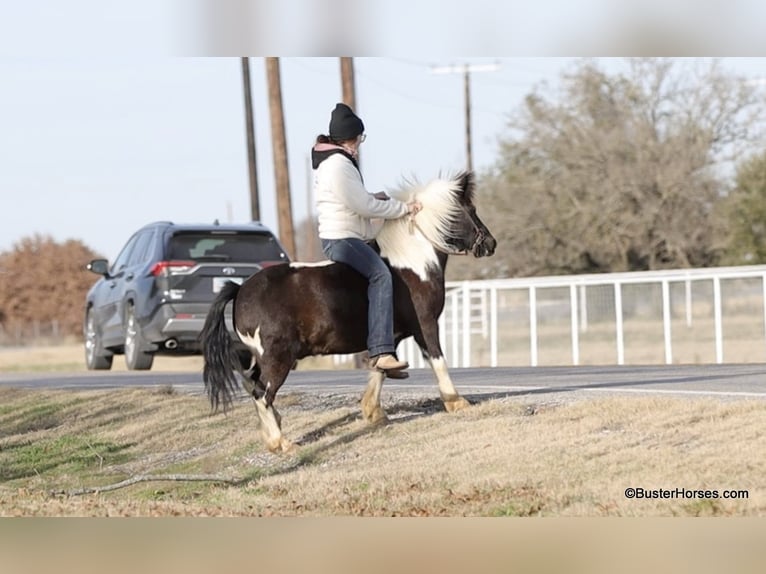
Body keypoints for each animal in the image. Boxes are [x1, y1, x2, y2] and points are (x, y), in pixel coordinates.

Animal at [200, 171, 496, 452]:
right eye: (470, 209)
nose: (491, 243)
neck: (412, 263)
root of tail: (240, 289)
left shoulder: (389, 335)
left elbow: (380, 368)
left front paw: (374, 412)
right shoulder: (425, 325)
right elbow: (437, 360)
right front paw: (456, 402)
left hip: (262, 358)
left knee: (254, 386)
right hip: (277, 358)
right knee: (262, 394)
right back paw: (281, 443)